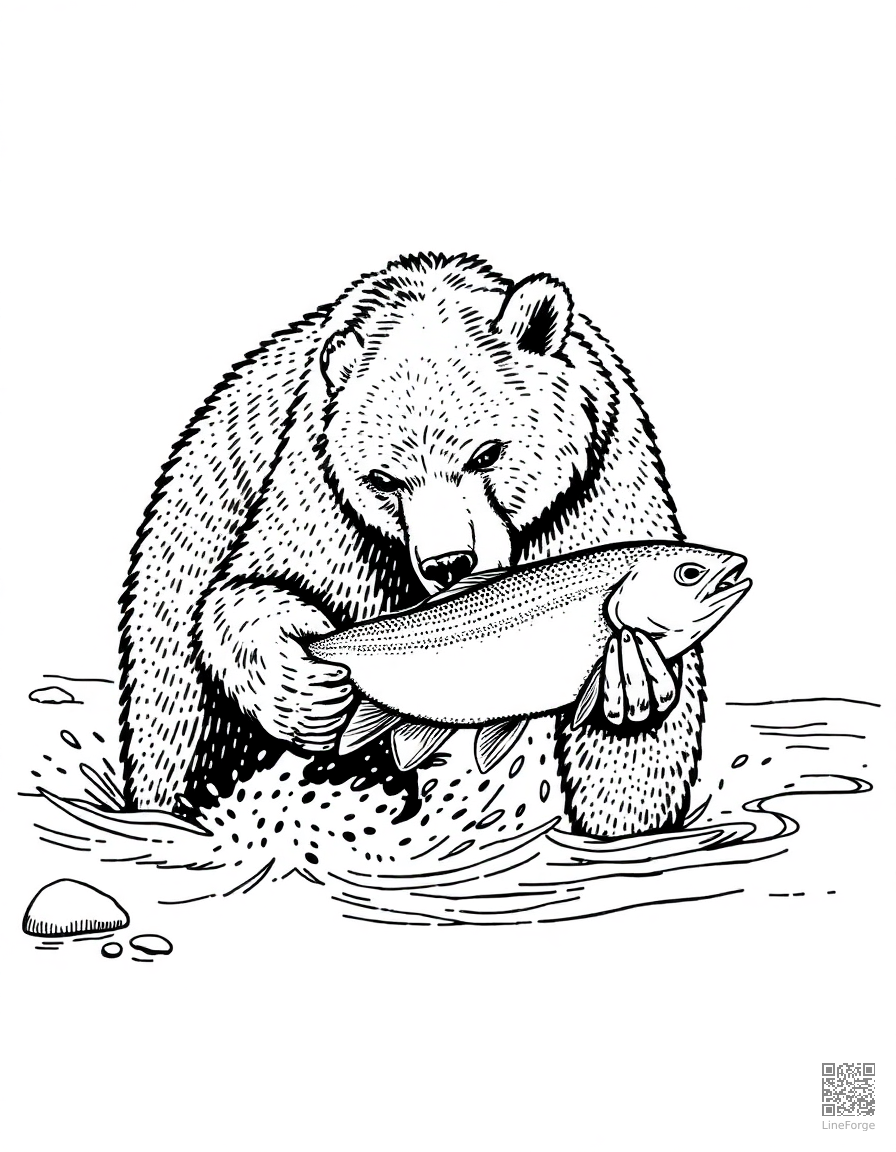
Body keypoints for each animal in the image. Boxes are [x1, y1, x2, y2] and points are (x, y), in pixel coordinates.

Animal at [119, 252, 705, 838]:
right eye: (384, 480)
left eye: (487, 454)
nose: (450, 564)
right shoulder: (325, 485)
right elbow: (254, 581)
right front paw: (306, 684)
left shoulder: (595, 481)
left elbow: (633, 738)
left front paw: (622, 817)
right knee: (175, 724)